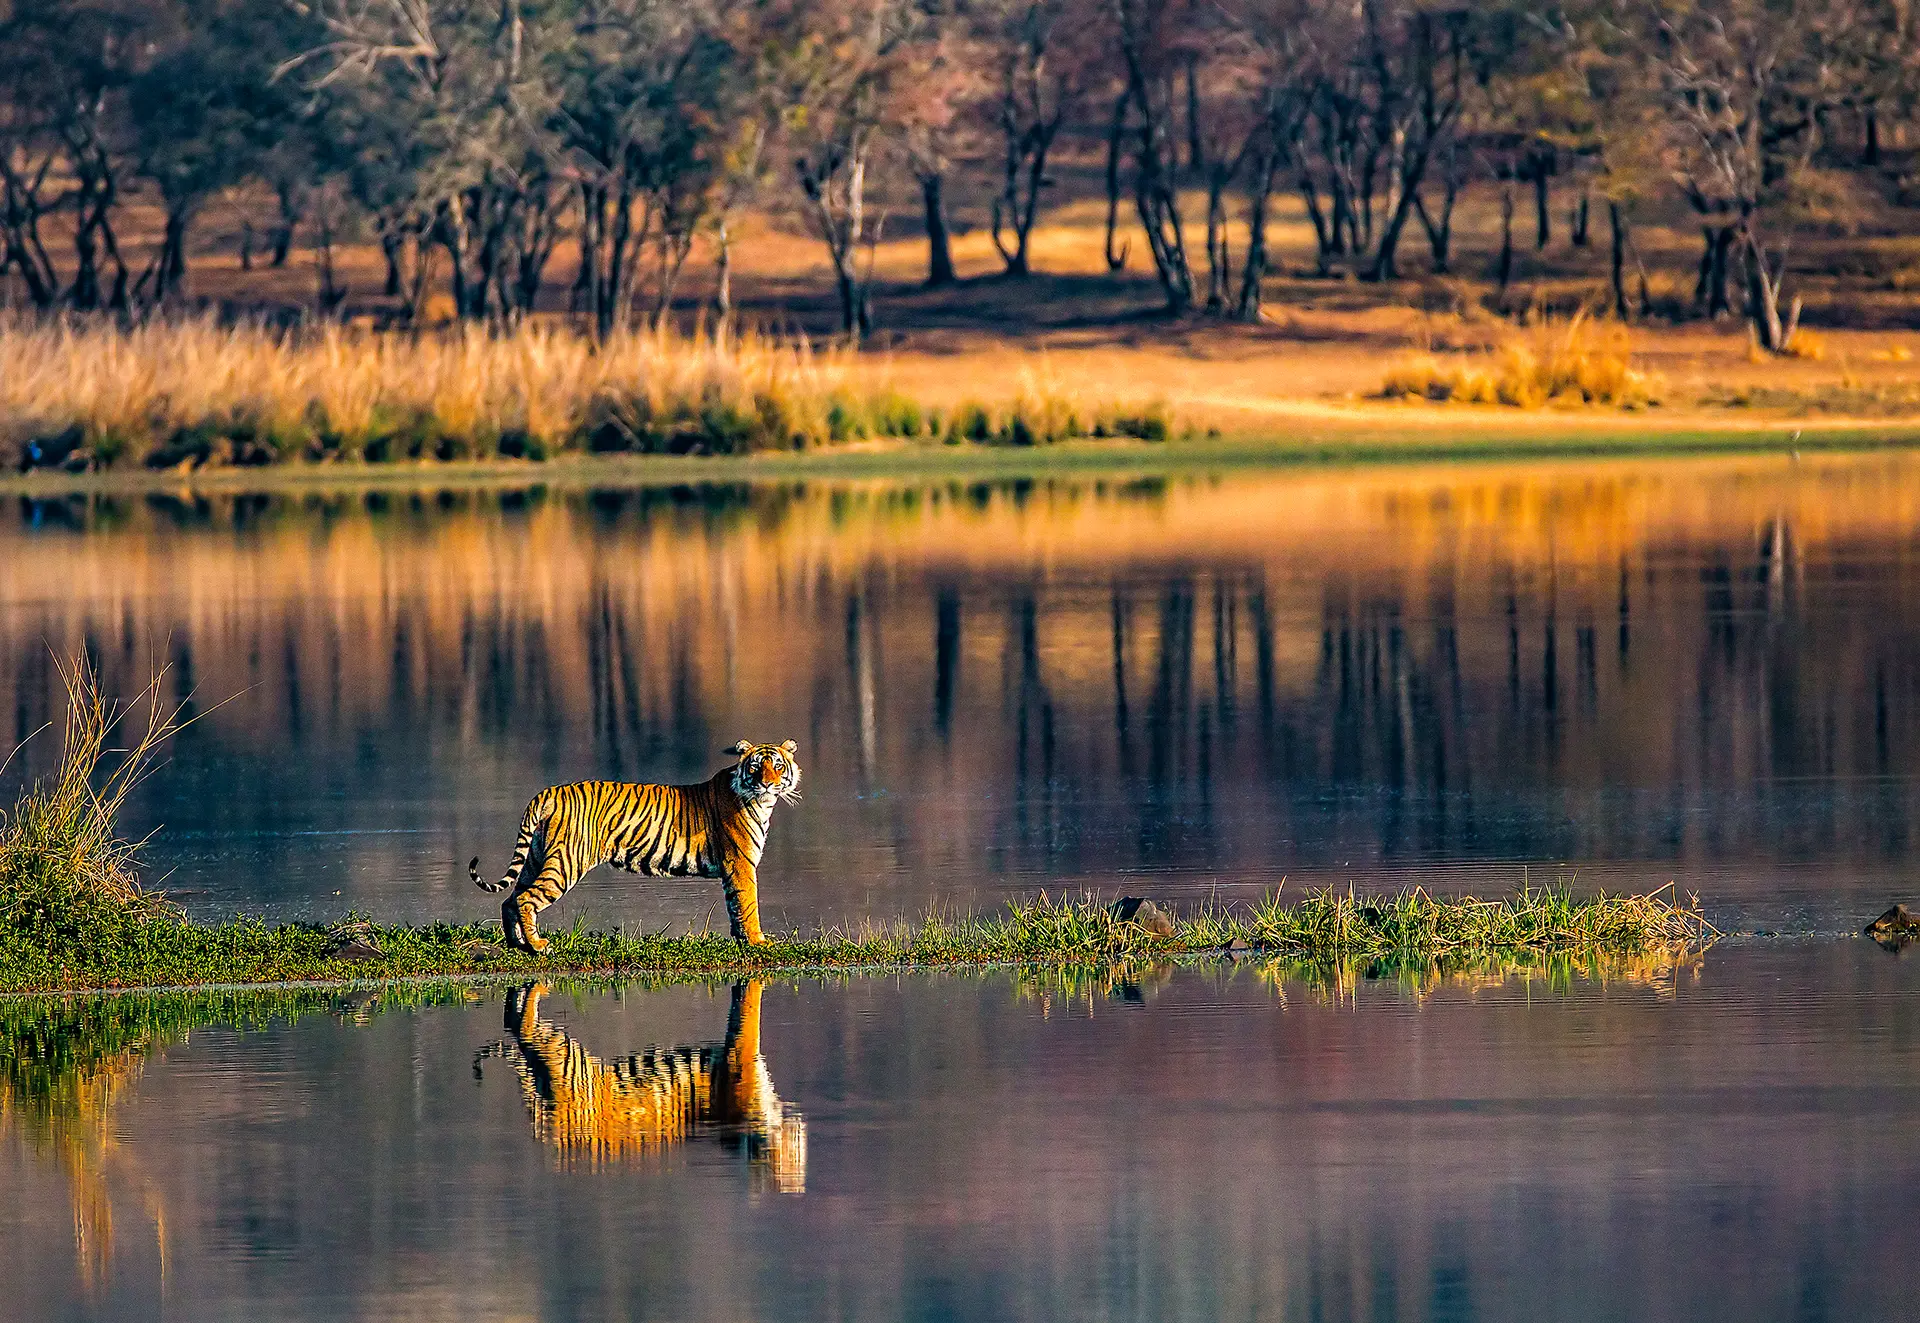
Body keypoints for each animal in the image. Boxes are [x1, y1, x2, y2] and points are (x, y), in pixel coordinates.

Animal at [471, 740, 801, 953]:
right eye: (756, 768)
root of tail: (549, 791)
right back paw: (538, 945)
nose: (767, 784)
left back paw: (517, 944)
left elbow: (735, 906)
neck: (763, 803)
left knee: (510, 899)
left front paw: (744, 940)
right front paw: (758, 940)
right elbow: (748, 903)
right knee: (526, 898)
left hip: (537, 857)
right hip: (565, 863)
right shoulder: (741, 863)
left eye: (778, 766)